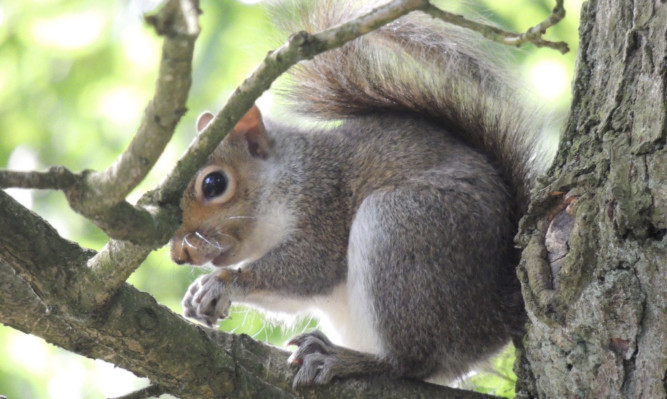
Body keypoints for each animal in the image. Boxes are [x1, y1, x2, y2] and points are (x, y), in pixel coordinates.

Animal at [170, 0, 552, 390]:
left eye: (213, 184)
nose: (178, 254)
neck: (284, 178)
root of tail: (495, 318)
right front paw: (194, 296)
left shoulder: (323, 203)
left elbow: (310, 268)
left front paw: (222, 283)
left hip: (403, 227)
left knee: (412, 362)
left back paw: (345, 359)